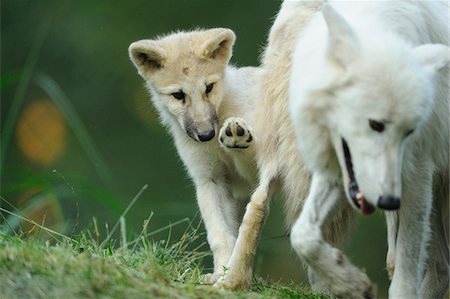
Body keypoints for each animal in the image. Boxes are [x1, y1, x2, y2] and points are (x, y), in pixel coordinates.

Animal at [127, 29, 260, 284]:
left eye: (209, 87)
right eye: (178, 95)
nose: (206, 134)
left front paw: (236, 133)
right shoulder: (210, 179)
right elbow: (221, 235)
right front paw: (221, 274)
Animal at [288, 1, 450, 298]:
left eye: (409, 132)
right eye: (375, 124)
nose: (389, 201)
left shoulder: (418, 172)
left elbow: (405, 275)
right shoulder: (336, 171)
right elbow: (302, 234)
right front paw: (348, 282)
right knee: (442, 267)